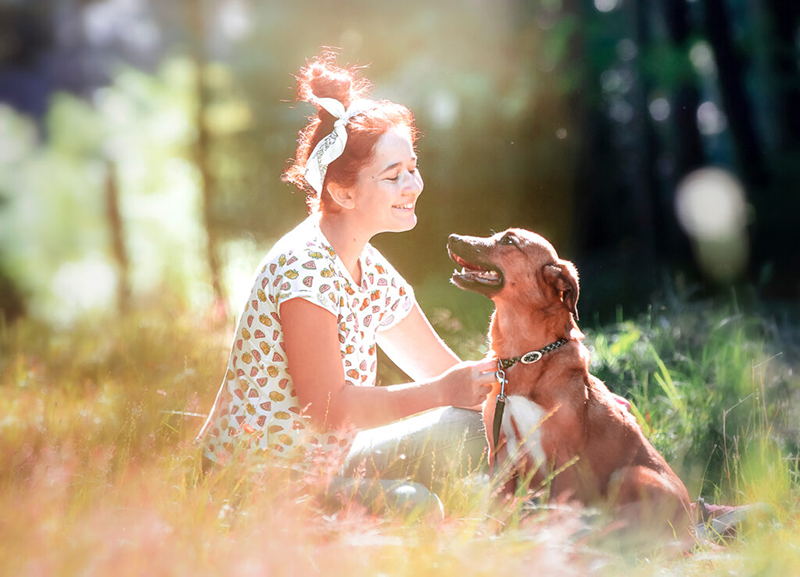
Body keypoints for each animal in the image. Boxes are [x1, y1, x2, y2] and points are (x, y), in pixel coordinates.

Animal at [446, 228, 692, 540]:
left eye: (508, 241)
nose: (452, 237)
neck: (525, 357)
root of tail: (694, 525)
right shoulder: (499, 453)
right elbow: (497, 508)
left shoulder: (563, 458)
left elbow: (559, 511)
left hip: (630, 475)